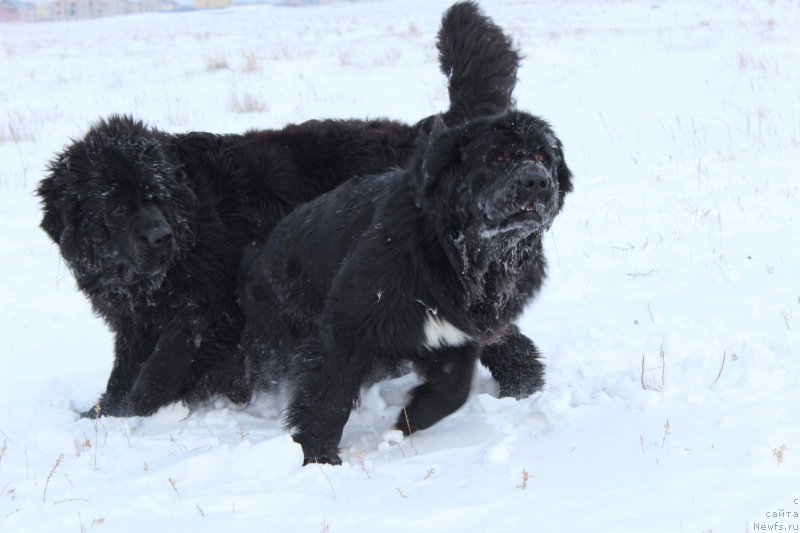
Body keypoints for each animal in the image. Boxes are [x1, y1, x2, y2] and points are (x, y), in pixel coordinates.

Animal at [39, 2, 524, 418]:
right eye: (116, 208)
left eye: (156, 195)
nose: (161, 237)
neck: (189, 216)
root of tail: (432, 135)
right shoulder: (135, 321)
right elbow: (126, 367)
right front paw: (103, 411)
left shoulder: (210, 304)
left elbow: (166, 358)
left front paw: (135, 409)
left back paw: (518, 388)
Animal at [241, 110, 572, 464]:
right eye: (497, 158)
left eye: (543, 157)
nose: (536, 181)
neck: (451, 251)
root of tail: (258, 253)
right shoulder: (348, 326)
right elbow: (329, 395)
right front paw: (318, 456)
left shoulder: (460, 332)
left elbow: (453, 390)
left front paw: (407, 421)